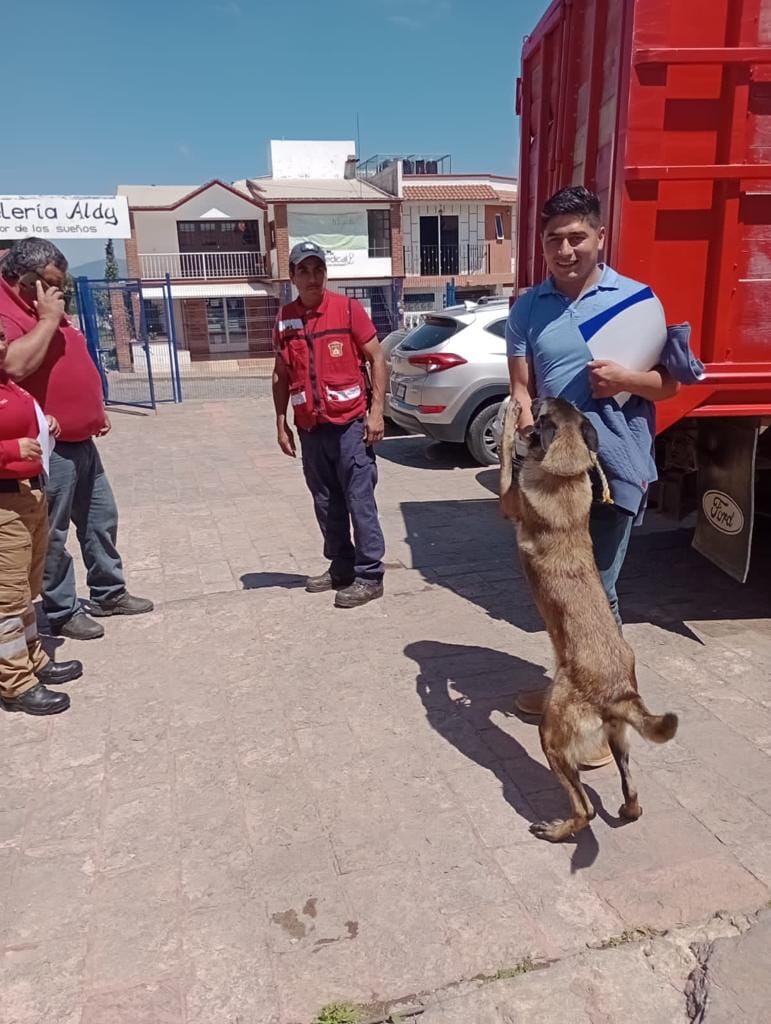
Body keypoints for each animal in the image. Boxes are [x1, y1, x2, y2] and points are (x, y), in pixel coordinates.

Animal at [499, 393, 671, 839]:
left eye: (544, 411)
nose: (536, 394)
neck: (567, 475)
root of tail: (619, 691)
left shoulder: (508, 500)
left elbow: (506, 459)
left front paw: (508, 419)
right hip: (618, 739)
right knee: (631, 793)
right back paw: (627, 810)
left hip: (551, 736)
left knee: (586, 809)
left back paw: (556, 829)